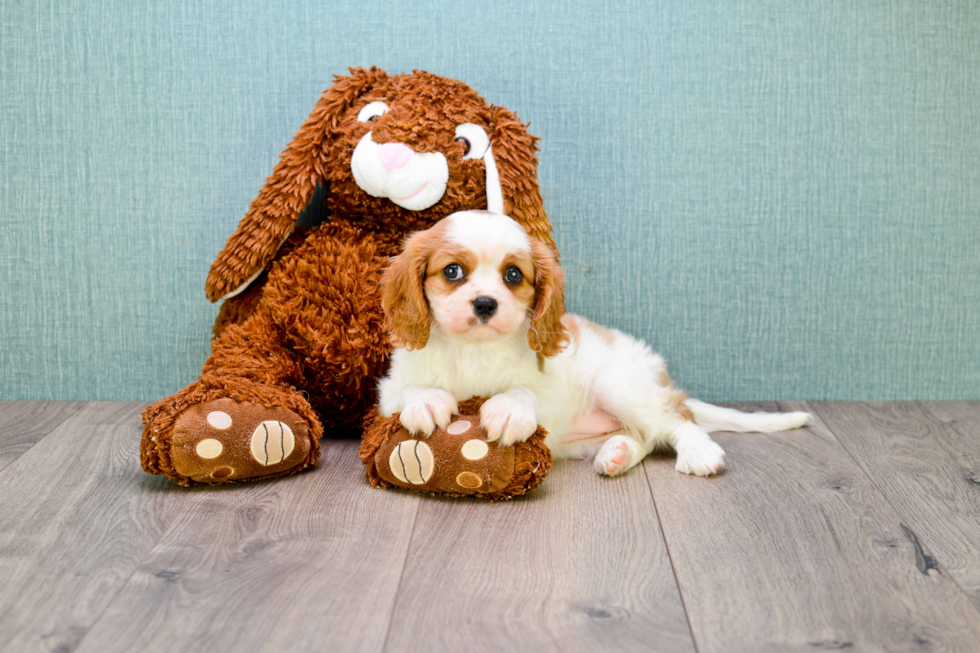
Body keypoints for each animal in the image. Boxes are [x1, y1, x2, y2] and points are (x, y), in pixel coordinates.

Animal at [376, 211, 812, 476]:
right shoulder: (387, 392)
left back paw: (697, 452)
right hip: (579, 441)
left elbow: (523, 391)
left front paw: (508, 409)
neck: (474, 349)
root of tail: (662, 380)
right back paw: (617, 454)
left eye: (513, 275)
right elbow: (408, 390)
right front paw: (427, 401)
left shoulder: (550, 384)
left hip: (617, 384)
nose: (485, 303)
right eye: (452, 272)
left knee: (675, 422)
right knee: (646, 436)